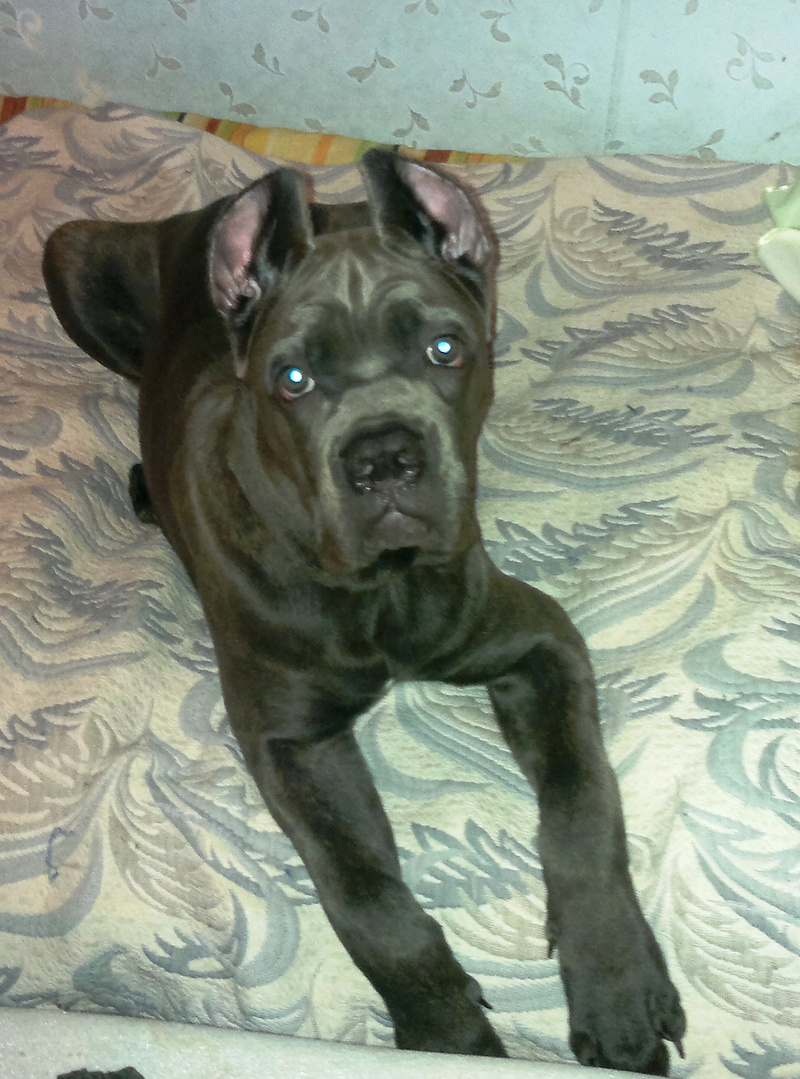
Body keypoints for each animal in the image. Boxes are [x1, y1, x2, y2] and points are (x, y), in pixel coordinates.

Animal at [42, 149, 685, 1072]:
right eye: (292, 379)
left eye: (445, 349)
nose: (384, 457)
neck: (378, 587)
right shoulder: (289, 740)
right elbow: (362, 890)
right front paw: (447, 1033)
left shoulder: (538, 639)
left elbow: (582, 796)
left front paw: (616, 984)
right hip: (71, 261)